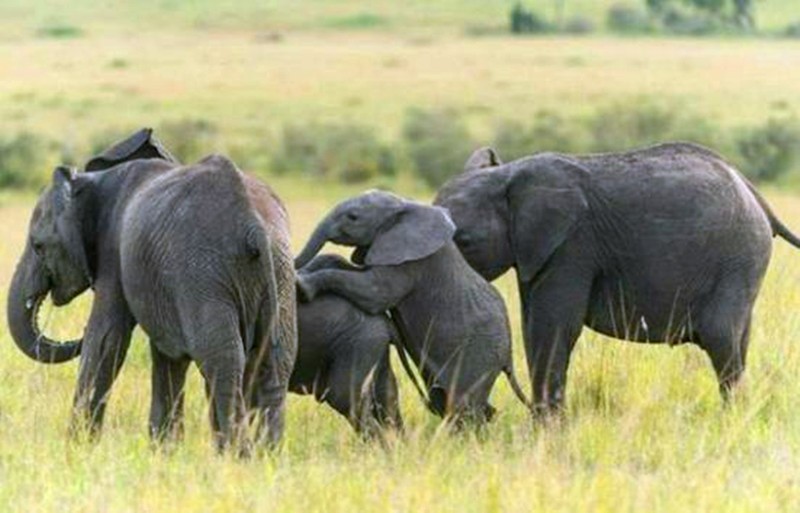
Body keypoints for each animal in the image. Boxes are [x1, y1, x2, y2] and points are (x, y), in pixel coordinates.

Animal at [4, 130, 298, 450]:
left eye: (38, 246)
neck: (93, 181)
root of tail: (253, 226)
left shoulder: (115, 251)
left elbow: (106, 339)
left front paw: (77, 448)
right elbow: (166, 357)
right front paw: (164, 451)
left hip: (204, 274)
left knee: (222, 360)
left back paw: (237, 455)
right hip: (279, 272)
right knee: (276, 362)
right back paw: (266, 454)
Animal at [434, 142, 800, 414]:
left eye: (464, 241)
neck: (507, 175)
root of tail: (755, 193)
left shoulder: (571, 246)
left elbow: (552, 327)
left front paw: (548, 430)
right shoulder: (536, 251)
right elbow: (533, 324)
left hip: (738, 256)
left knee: (722, 339)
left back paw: (730, 419)